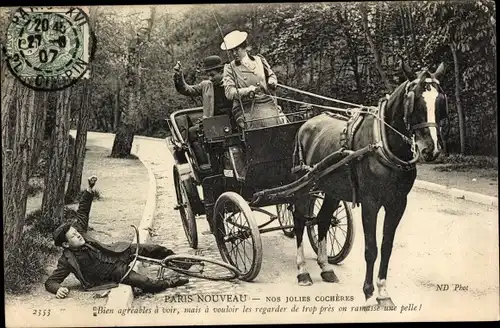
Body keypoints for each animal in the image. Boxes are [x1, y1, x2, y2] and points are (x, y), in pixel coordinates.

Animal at [292, 61, 448, 304]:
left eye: (440, 101)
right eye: (414, 102)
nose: (431, 150)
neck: (384, 144)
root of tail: (306, 124)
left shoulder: (397, 204)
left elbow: (386, 246)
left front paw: (383, 292)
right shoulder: (370, 203)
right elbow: (371, 248)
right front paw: (368, 291)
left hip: (332, 190)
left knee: (323, 220)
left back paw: (325, 267)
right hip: (304, 187)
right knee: (299, 221)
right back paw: (302, 272)